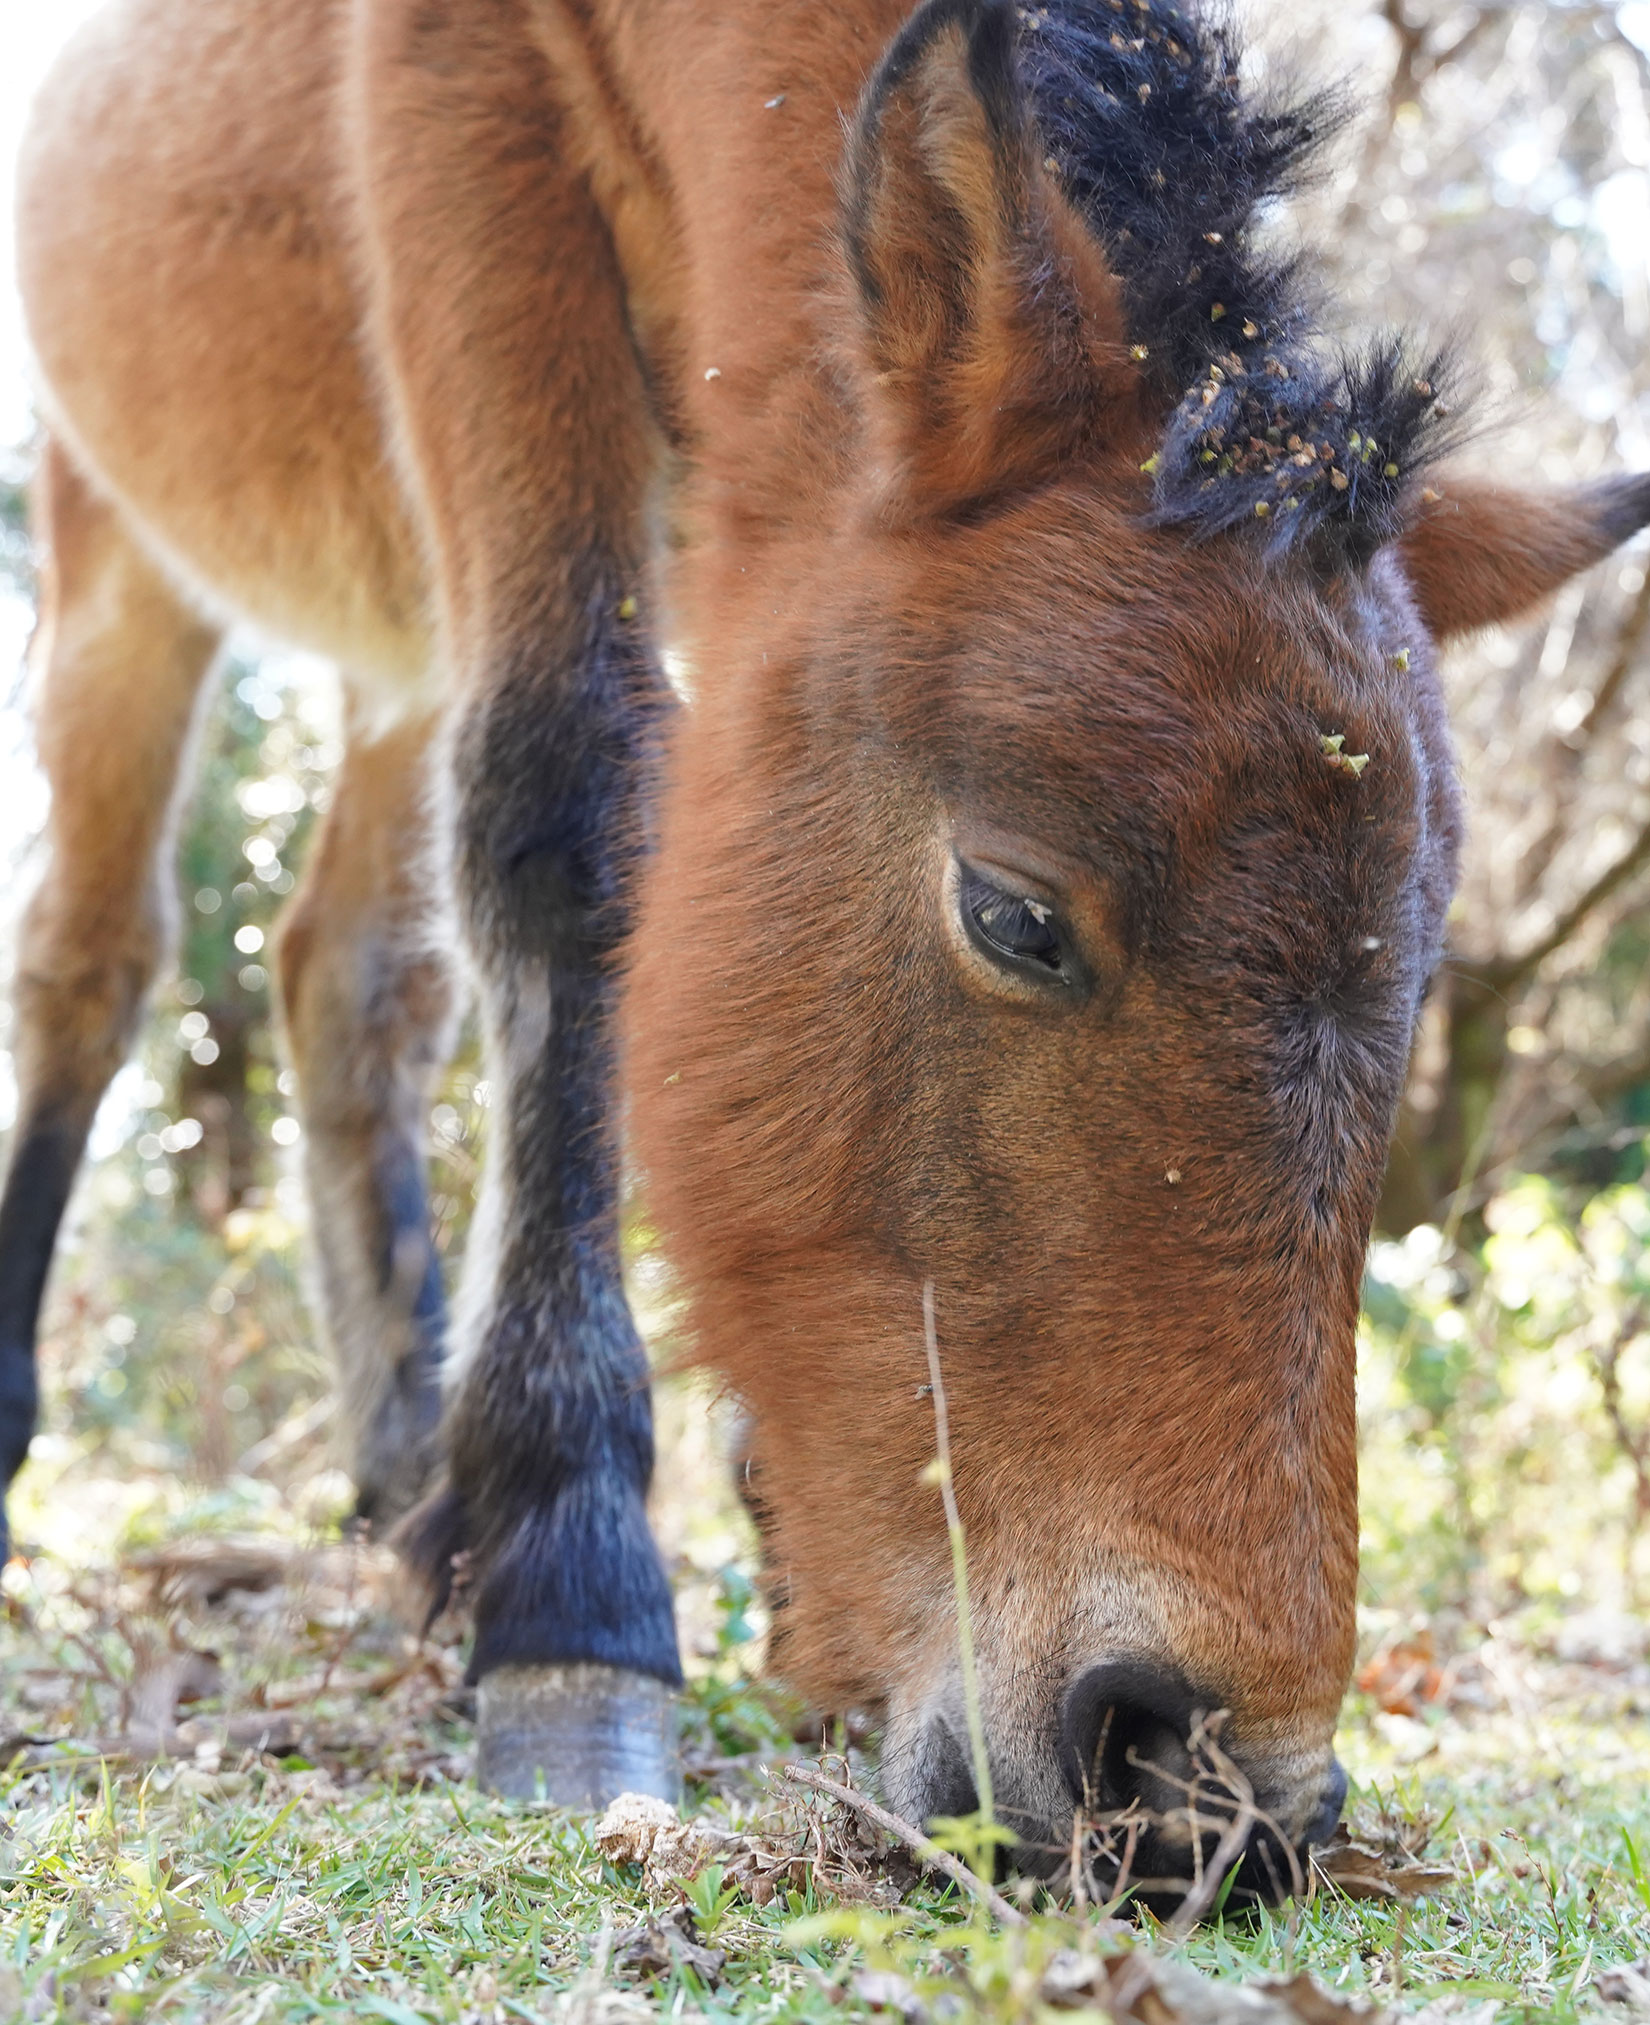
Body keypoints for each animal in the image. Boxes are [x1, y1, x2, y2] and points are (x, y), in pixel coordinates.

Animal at [6, 0, 1643, 1895]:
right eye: (1011, 915)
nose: (1212, 1797)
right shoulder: (475, 154)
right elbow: (575, 810)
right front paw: (572, 1581)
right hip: (122, 566)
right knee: (94, 962)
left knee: (349, 976)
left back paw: (413, 1481)